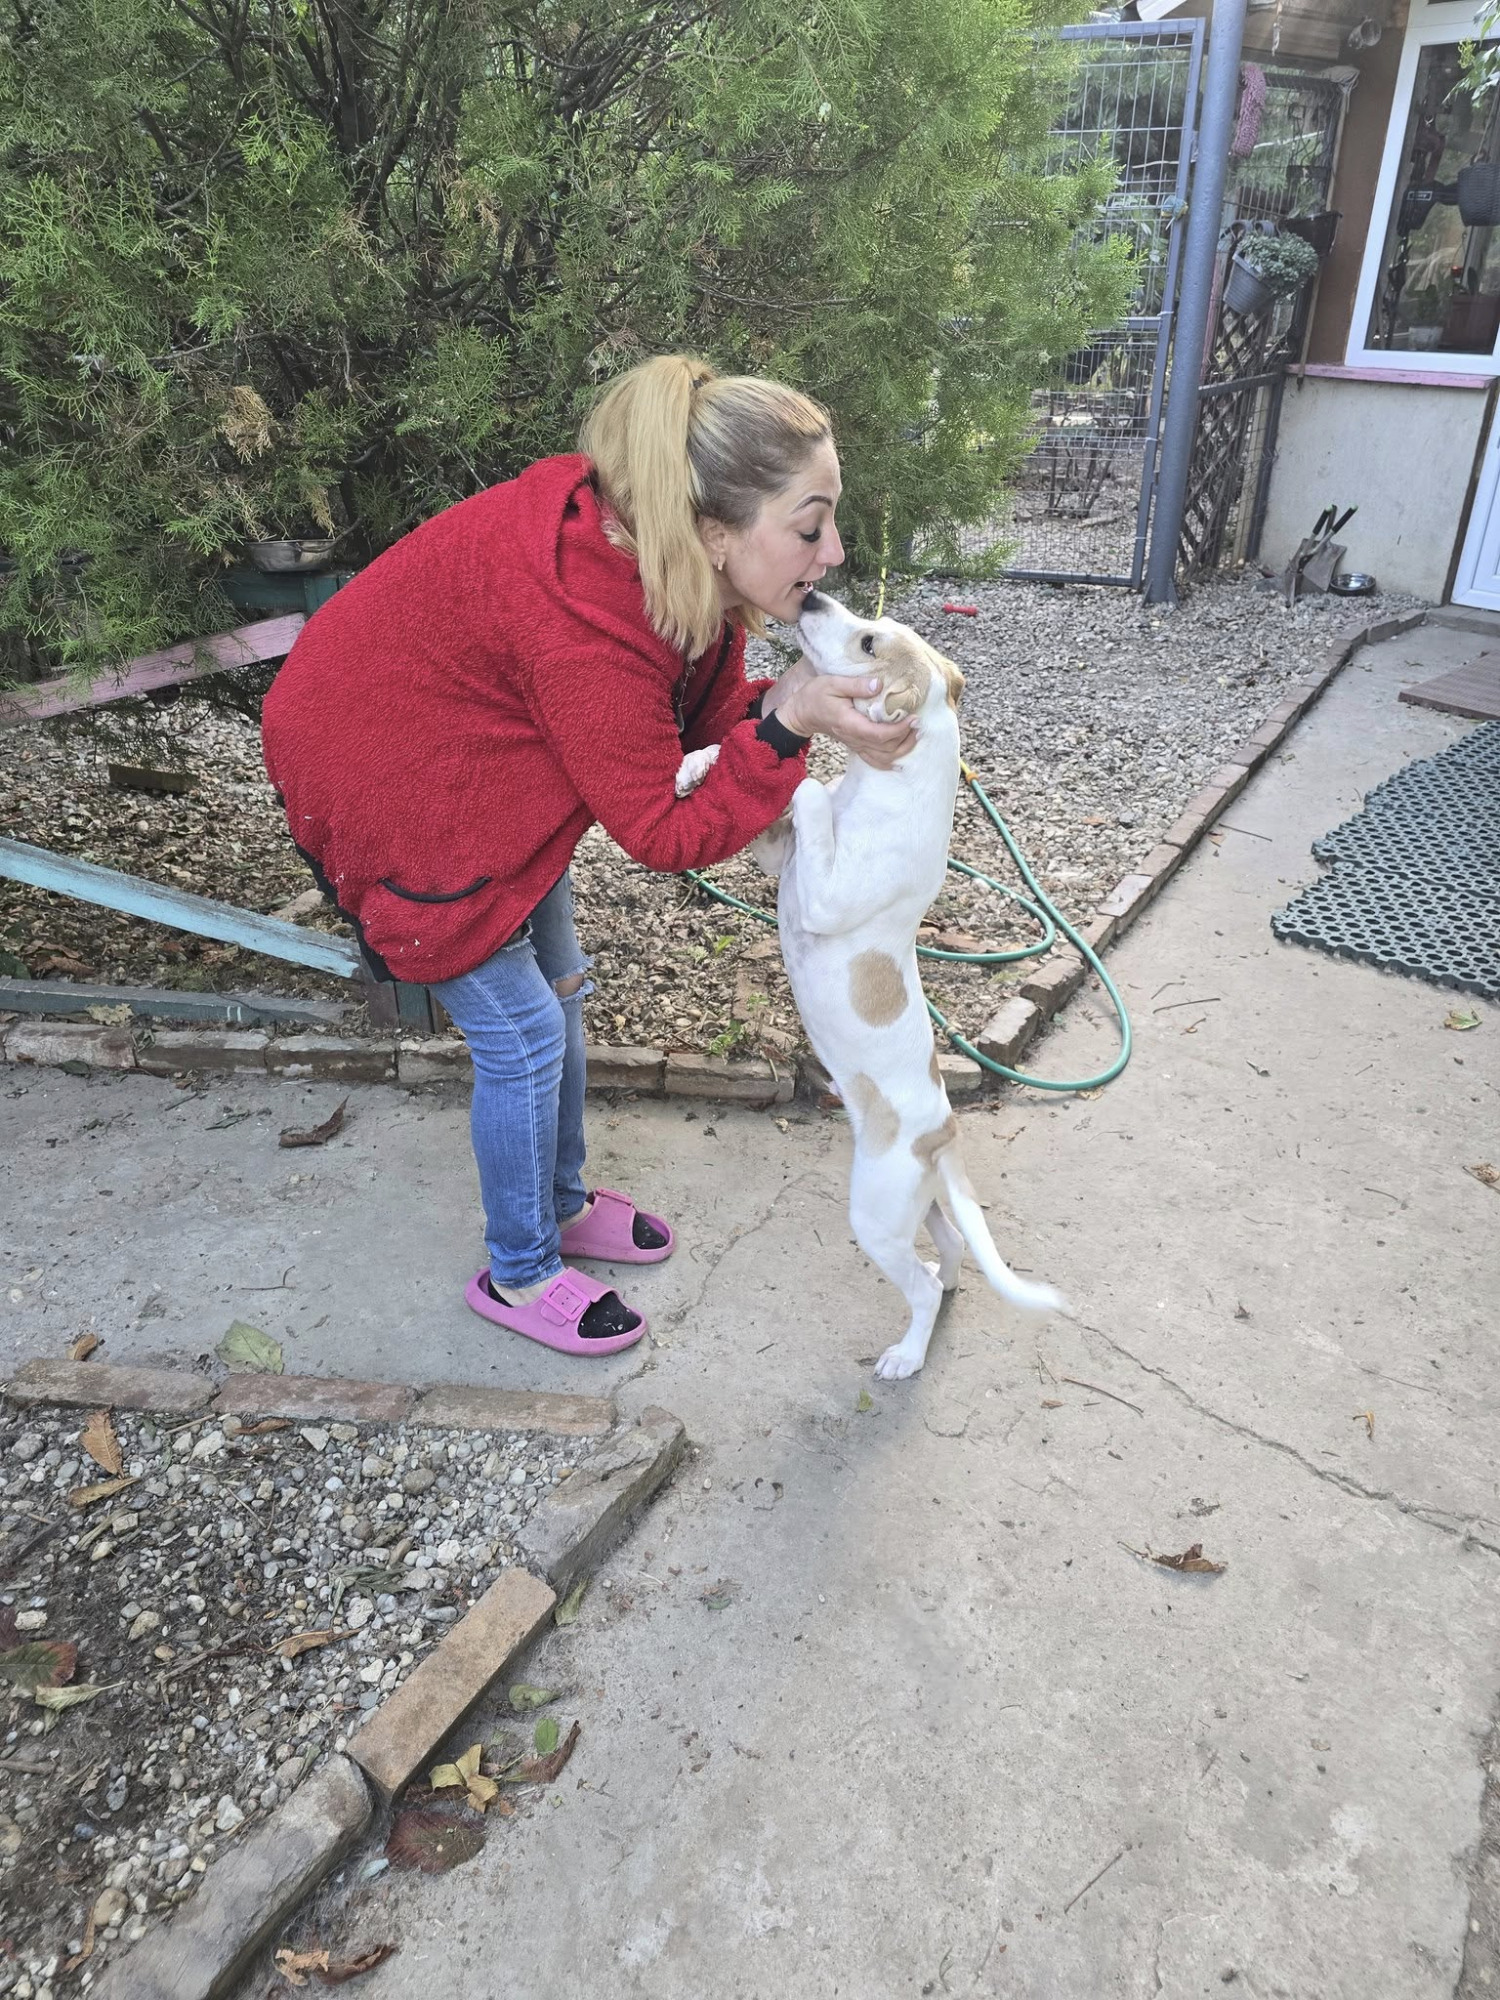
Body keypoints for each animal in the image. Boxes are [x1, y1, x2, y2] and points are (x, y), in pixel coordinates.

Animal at [679, 592, 1066, 1379]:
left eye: (866, 641)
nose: (811, 595)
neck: (882, 781)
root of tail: (942, 1130)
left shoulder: (823, 894)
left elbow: (802, 789)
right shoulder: (783, 862)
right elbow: (768, 793)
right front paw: (696, 763)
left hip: (876, 1214)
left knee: (917, 1284)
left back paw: (906, 1356)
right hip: (917, 1204)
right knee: (949, 1246)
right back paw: (946, 1291)